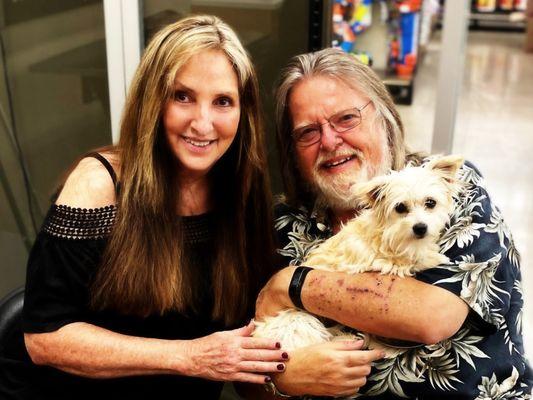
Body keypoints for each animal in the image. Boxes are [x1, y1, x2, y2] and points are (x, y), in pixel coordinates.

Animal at [252, 155, 462, 352]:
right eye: (400, 207)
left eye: (430, 203)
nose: (420, 228)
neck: (388, 234)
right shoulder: (373, 263)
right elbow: (406, 261)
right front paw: (433, 256)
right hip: (301, 322)